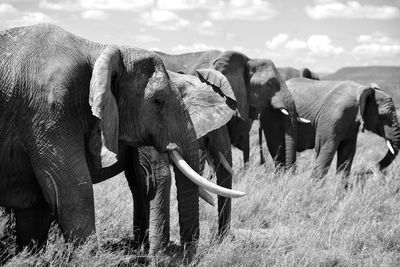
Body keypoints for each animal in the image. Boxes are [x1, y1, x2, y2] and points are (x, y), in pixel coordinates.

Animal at [0, 24, 242, 254]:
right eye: (158, 101)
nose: (187, 254)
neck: (98, 49)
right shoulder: (48, 111)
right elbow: (75, 192)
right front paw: (157, 256)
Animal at [260, 77, 400, 182]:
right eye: (384, 116)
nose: (361, 173)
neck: (362, 88)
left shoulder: (351, 123)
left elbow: (347, 152)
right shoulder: (332, 117)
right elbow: (326, 147)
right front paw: (315, 190)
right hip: (271, 116)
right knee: (276, 148)